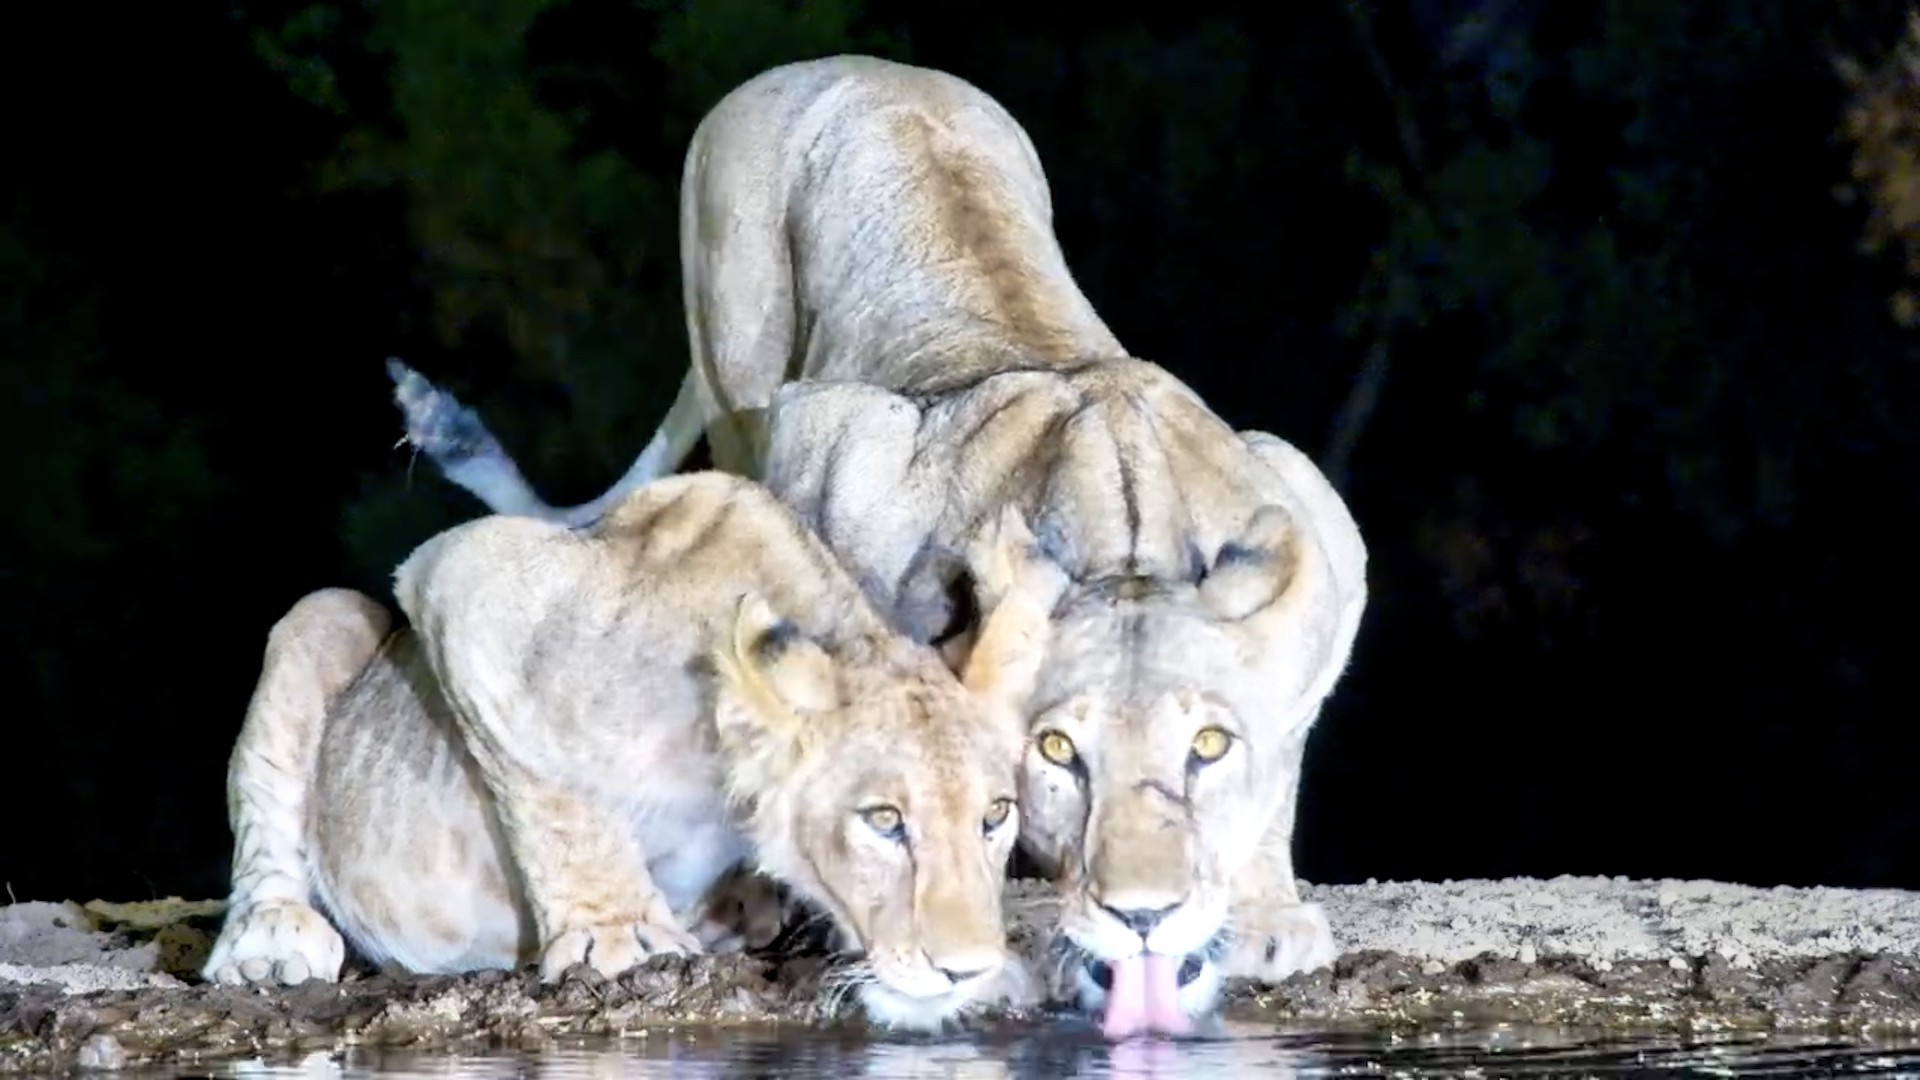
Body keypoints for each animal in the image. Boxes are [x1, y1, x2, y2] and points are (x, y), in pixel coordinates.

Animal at [199, 470, 1068, 1031]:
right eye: (884, 820)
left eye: (995, 816)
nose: (967, 966)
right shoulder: (465, 578)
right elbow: (557, 798)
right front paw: (620, 934)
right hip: (323, 613)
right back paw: (272, 939)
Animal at [386, 55, 1369, 1039]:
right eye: (1057, 752)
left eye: (1209, 746)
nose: (1145, 916)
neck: (1123, 532)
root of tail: (853, 63)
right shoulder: (837, 438)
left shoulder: (1311, 508)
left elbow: (1282, 757)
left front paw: (1267, 917)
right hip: (735, 338)